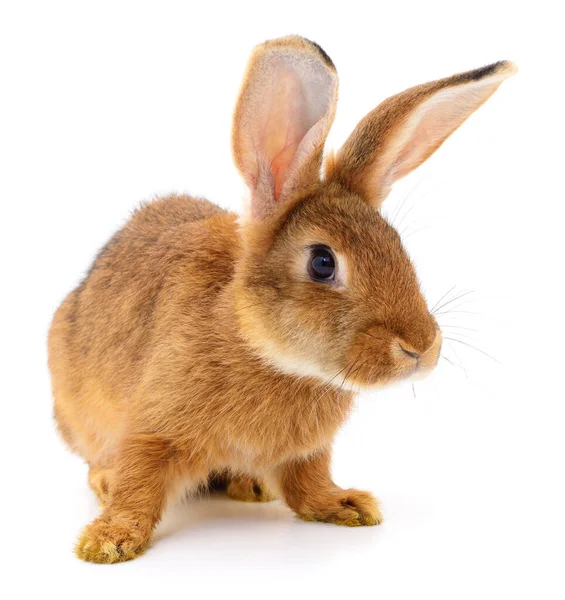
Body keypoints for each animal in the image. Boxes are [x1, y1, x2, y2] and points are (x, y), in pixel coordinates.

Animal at [48, 36, 516, 564]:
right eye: (322, 263)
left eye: (398, 246)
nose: (422, 347)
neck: (268, 352)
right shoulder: (152, 427)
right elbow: (139, 484)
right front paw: (109, 541)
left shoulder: (307, 451)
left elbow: (307, 482)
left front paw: (346, 505)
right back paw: (107, 483)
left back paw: (251, 486)